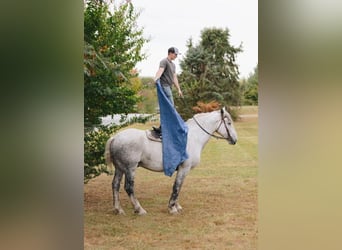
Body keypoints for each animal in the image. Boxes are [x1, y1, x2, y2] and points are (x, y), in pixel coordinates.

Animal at [104, 107, 238, 215]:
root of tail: (115, 138)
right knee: (129, 187)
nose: (235, 140)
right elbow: (176, 187)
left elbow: (179, 186)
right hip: (130, 168)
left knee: (115, 185)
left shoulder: (182, 170)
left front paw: (176, 206)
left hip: (120, 168)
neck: (192, 138)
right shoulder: (184, 168)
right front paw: (172, 208)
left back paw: (118, 209)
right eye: (229, 123)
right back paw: (139, 209)